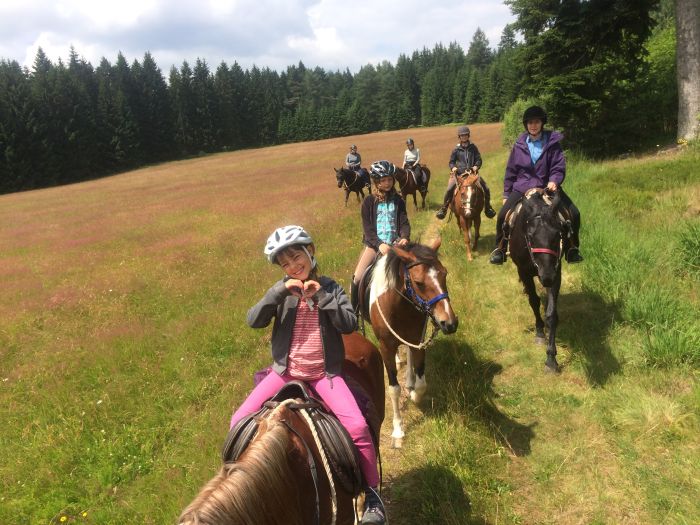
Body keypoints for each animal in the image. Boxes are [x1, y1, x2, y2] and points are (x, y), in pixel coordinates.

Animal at [366, 237, 460, 446]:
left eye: (445, 274)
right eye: (418, 283)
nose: (449, 323)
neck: (399, 306)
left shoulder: (419, 340)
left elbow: (422, 383)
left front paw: (415, 394)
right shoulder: (385, 347)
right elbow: (393, 389)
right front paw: (398, 430)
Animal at [508, 188, 568, 372]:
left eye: (558, 235)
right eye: (530, 236)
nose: (546, 276)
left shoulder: (556, 271)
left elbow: (551, 314)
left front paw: (551, 359)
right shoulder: (524, 272)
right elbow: (534, 301)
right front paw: (540, 332)